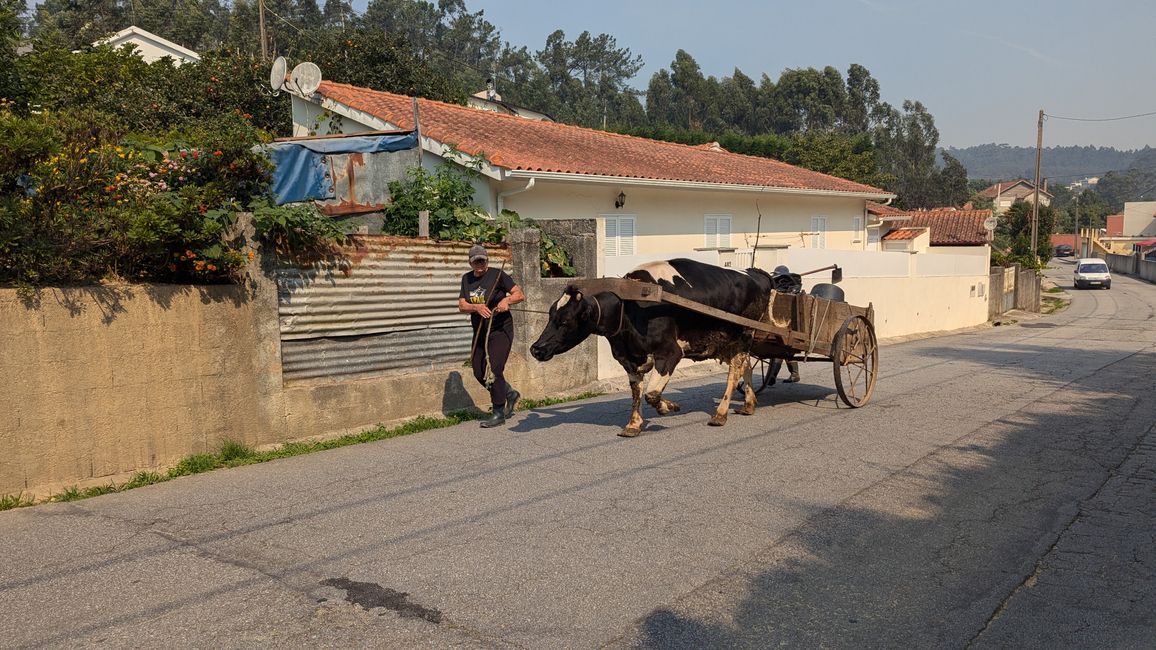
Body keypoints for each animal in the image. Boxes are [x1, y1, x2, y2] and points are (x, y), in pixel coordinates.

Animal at [531, 257, 776, 434]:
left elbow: (651, 393)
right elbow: (636, 393)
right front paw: (633, 425)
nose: (536, 348)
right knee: (745, 366)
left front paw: (669, 407)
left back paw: (721, 413)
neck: (630, 308)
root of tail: (755, 272)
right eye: (550, 314)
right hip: (729, 341)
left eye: (565, 320)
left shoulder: (670, 353)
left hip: (742, 336)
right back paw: (749, 404)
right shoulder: (628, 359)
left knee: (735, 371)